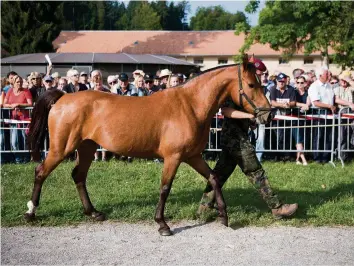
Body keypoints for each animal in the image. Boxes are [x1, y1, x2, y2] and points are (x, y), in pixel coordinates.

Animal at [26, 55, 272, 236]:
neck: (190, 105)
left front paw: (223, 215)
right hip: (61, 148)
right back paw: (31, 212)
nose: (268, 114)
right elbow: (165, 188)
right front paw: (162, 224)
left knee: (78, 175)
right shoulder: (173, 157)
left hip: (87, 148)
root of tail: (63, 97)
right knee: (40, 172)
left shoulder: (193, 156)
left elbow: (213, 178)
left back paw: (93, 212)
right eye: (251, 84)